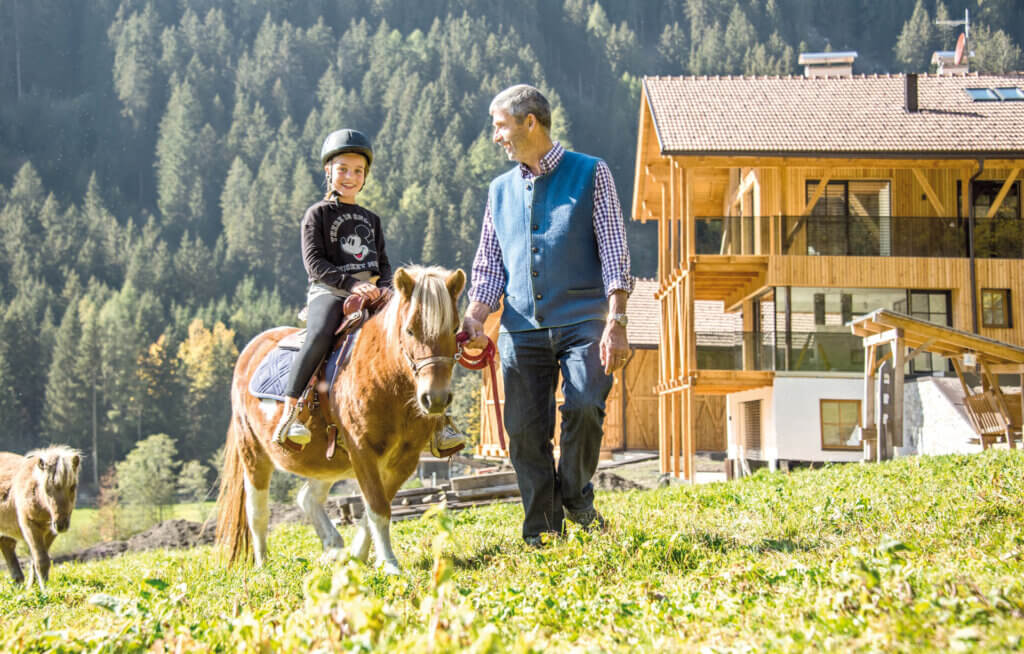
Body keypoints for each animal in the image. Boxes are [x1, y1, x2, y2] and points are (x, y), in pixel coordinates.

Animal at [0, 446, 79, 589]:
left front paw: (32, 587)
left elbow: (36, 560)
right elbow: (41, 560)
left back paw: (18, 582)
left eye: (73, 486)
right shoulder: (30, 527)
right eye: (47, 488)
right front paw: (44, 589)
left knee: (7, 546)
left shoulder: (50, 532)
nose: (61, 524)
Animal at [220, 264, 468, 573]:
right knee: (258, 512)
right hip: (253, 453)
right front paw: (389, 564)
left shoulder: (405, 460)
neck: (386, 378)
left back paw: (334, 547)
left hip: (326, 463)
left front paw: (357, 557)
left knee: (307, 498)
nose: (434, 399)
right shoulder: (362, 451)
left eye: (455, 329)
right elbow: (377, 508)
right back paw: (263, 564)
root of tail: (251, 349)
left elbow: (374, 509)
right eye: (410, 330)